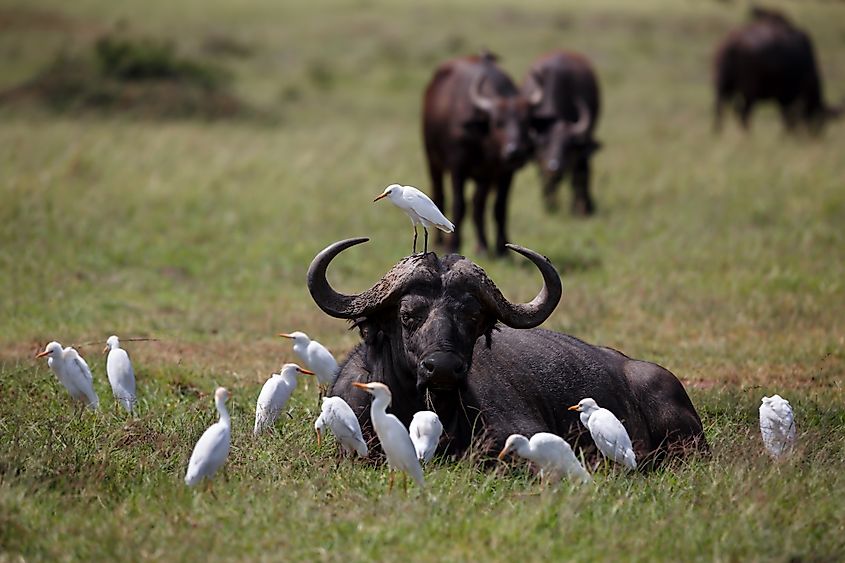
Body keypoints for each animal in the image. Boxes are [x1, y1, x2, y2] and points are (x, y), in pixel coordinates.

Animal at [422, 50, 536, 258]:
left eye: (526, 122)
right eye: (498, 122)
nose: (515, 151)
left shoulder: (504, 173)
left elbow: (499, 207)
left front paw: (500, 248)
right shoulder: (457, 167)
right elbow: (459, 205)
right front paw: (453, 244)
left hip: (484, 177)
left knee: (478, 205)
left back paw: (481, 245)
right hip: (432, 159)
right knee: (439, 195)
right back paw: (439, 241)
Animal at [520, 50, 600, 216]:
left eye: (567, 145)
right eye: (544, 144)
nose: (554, 167)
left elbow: (579, 177)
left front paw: (581, 210)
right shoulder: (540, 160)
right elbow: (546, 181)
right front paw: (550, 207)